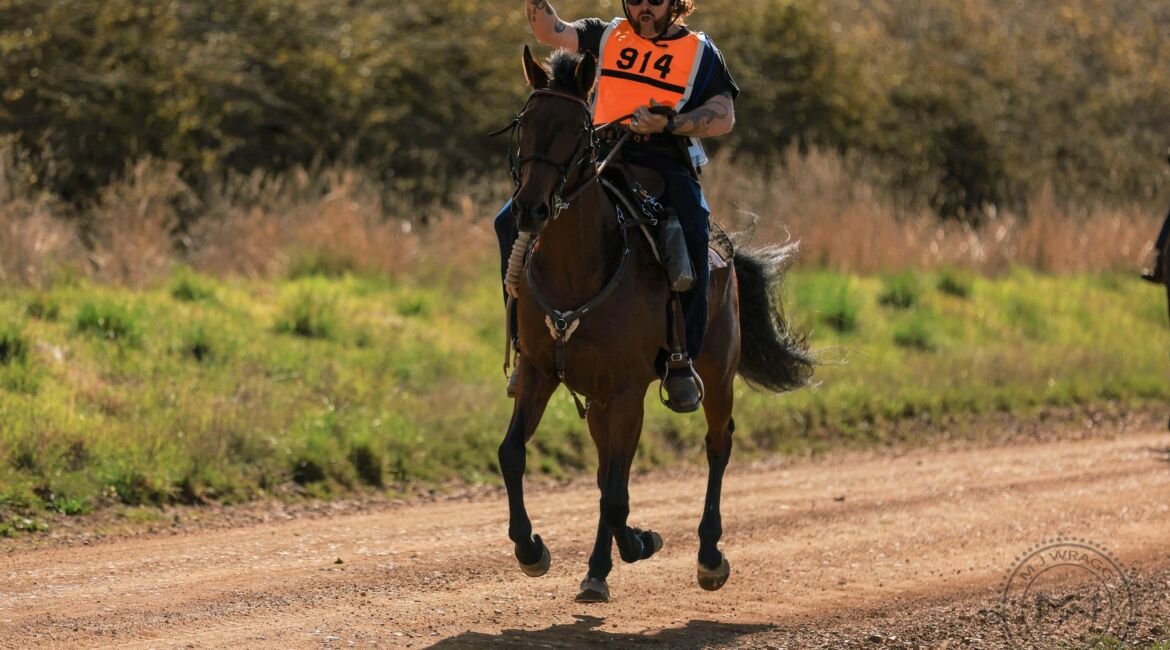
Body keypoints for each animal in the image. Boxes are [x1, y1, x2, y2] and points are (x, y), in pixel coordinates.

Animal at [496, 47, 814, 603]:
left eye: (577, 130)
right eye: (525, 123)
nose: (531, 209)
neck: (578, 269)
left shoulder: (627, 392)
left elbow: (616, 494)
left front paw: (636, 542)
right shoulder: (541, 372)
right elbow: (516, 455)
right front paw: (532, 550)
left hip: (716, 374)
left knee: (717, 445)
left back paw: (708, 557)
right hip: (599, 399)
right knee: (608, 470)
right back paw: (601, 567)